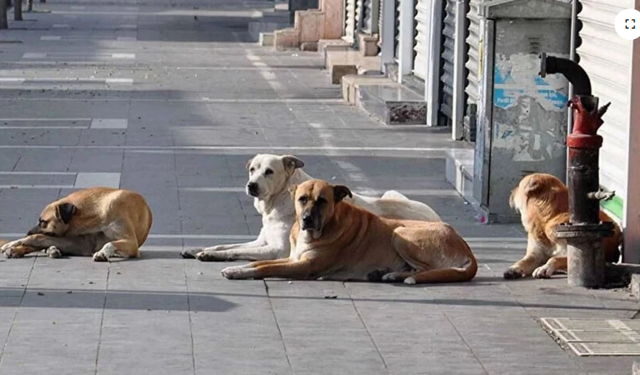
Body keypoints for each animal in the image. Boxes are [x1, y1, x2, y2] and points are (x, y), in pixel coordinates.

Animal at [0, 187, 152, 262]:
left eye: (43, 221)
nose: (27, 232)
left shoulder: (131, 243)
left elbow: (109, 243)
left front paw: (102, 253)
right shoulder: (81, 243)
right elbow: (36, 238)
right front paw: (14, 243)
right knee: (39, 243)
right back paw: (16, 249)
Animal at [180, 154, 440, 262]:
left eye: (269, 171)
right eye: (252, 169)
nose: (251, 185)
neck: (278, 202)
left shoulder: (276, 250)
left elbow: (234, 251)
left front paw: (211, 255)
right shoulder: (261, 241)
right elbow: (225, 244)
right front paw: (199, 249)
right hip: (390, 193)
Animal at [220, 180, 476, 284]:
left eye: (322, 201)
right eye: (302, 199)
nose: (307, 219)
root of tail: (467, 249)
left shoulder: (303, 266)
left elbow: (265, 268)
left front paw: (237, 272)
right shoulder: (292, 258)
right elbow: (257, 263)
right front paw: (238, 268)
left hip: (400, 234)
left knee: (426, 270)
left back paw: (395, 275)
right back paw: (387, 273)